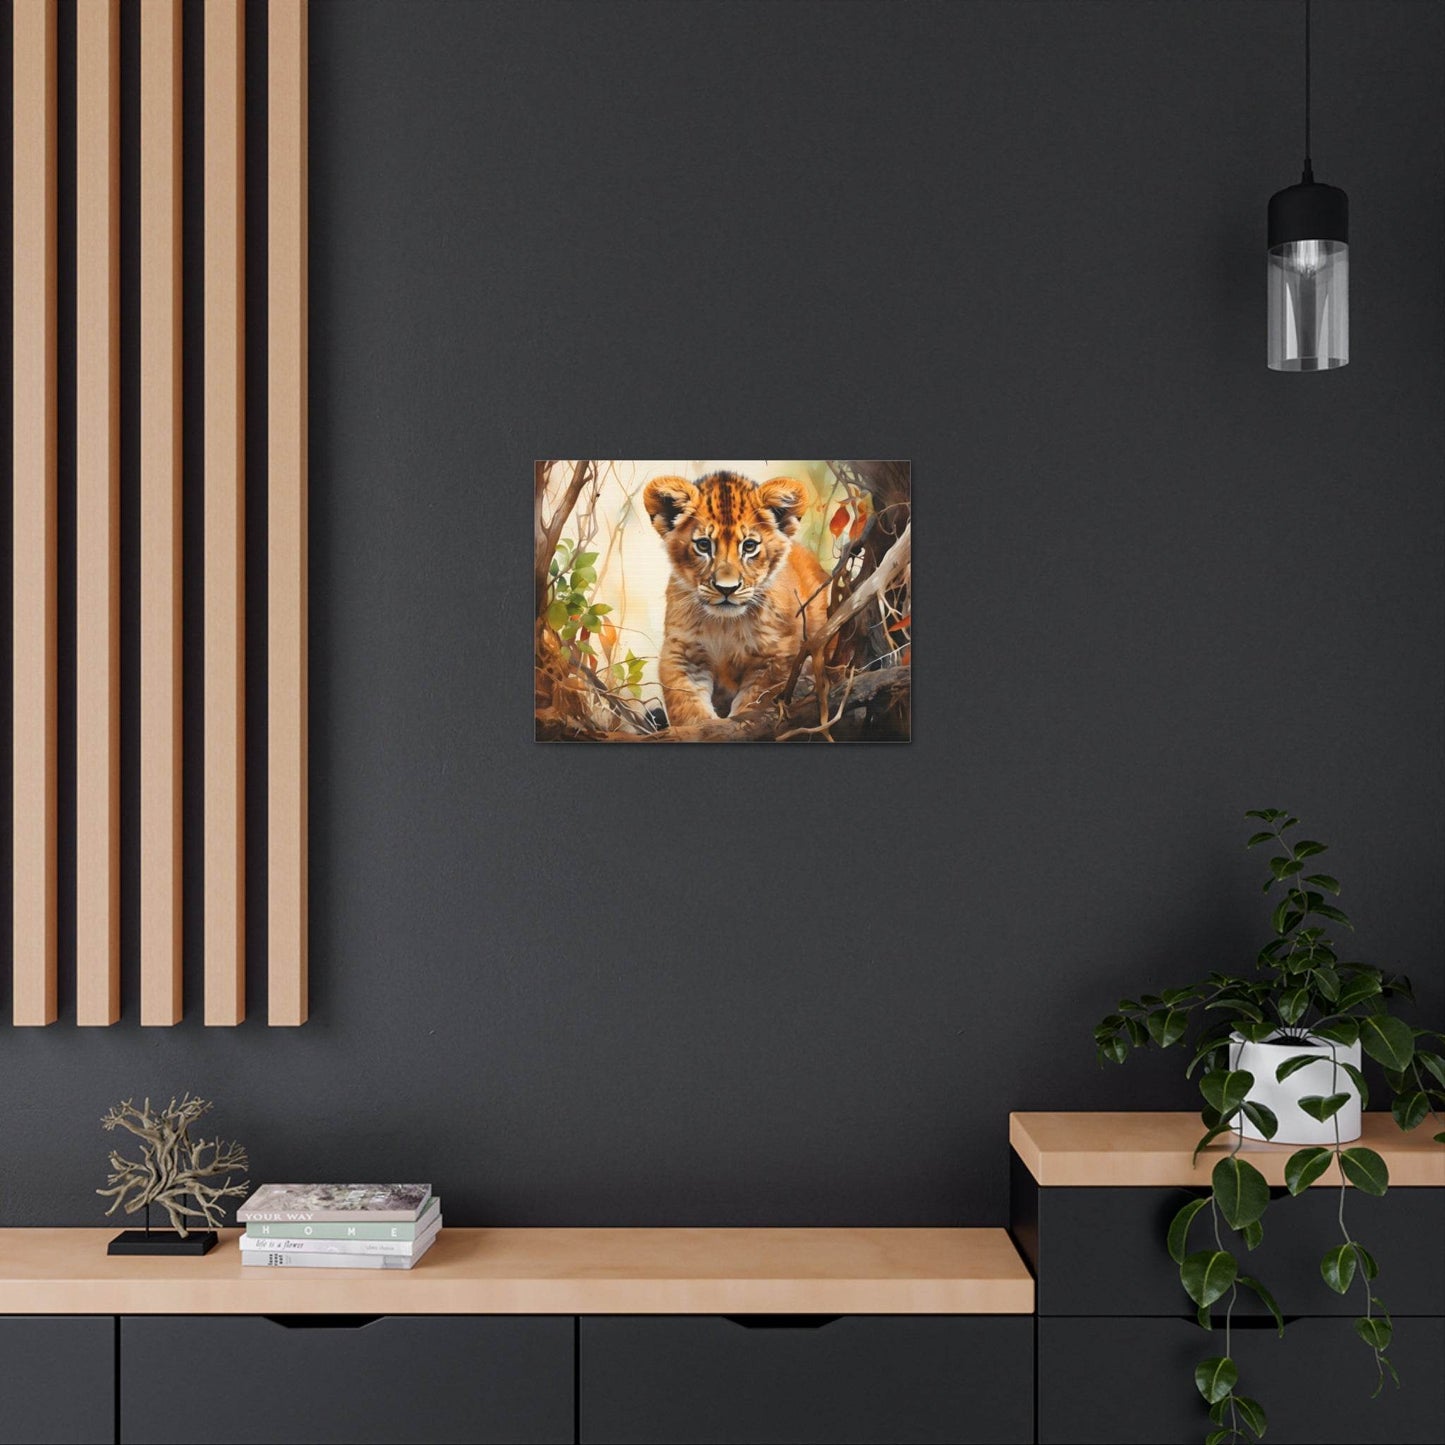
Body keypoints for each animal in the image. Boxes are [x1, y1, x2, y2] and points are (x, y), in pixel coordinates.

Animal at [641, 471, 831, 730]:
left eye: (749, 546)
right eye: (703, 545)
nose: (726, 589)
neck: (725, 625)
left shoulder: (776, 657)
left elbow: (755, 703)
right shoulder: (683, 652)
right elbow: (686, 702)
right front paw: (701, 727)